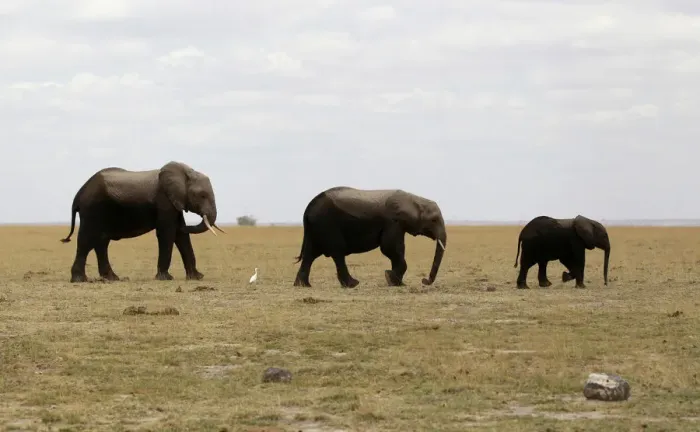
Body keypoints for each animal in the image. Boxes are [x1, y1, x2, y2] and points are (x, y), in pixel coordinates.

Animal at [60, 161, 225, 283]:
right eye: (202, 195)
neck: (186, 172)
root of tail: (79, 195)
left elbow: (181, 236)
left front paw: (197, 277)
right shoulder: (164, 201)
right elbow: (167, 233)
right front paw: (165, 278)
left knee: (101, 242)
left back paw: (112, 278)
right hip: (92, 210)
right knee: (87, 241)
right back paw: (80, 280)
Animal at [293, 186, 447, 288]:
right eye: (434, 220)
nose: (424, 281)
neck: (415, 199)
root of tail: (307, 209)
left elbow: (393, 250)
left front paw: (397, 283)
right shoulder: (392, 222)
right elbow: (390, 248)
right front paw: (391, 279)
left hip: (316, 229)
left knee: (310, 255)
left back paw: (303, 285)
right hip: (327, 225)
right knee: (337, 252)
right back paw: (352, 284)